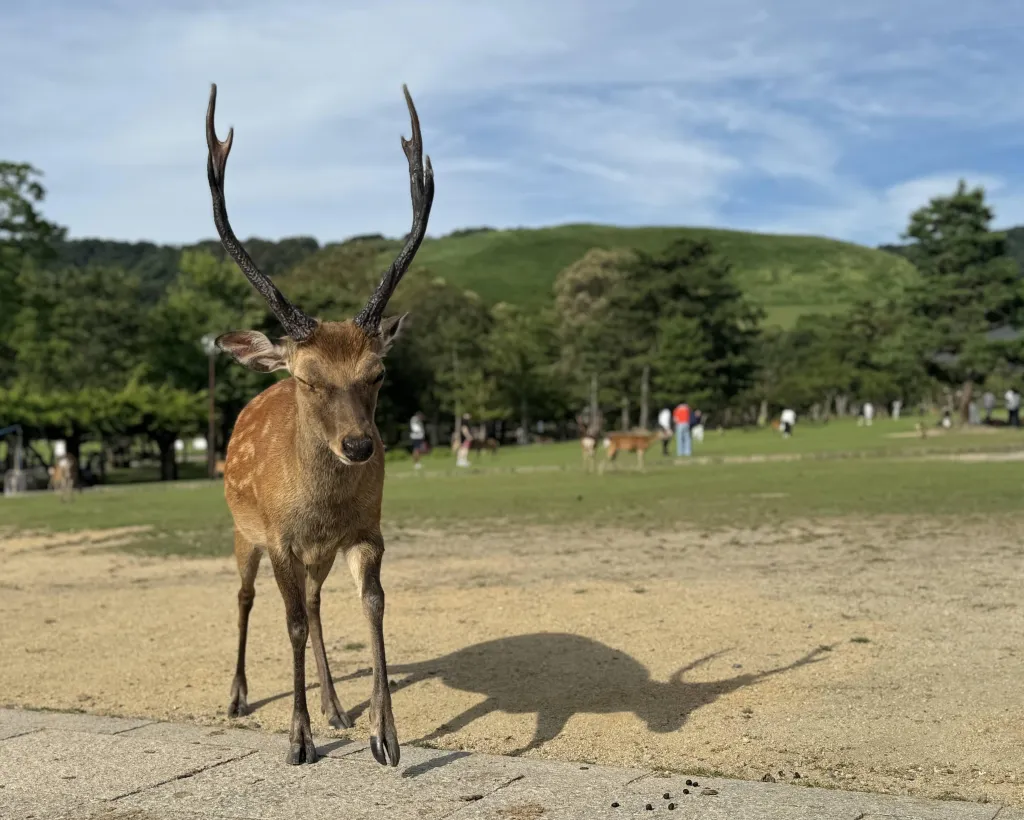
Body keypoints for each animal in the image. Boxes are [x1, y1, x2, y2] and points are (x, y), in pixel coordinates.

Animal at [204, 81, 434, 767]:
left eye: (378, 373)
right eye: (307, 378)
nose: (359, 446)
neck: (321, 506)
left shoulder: (366, 531)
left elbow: (373, 607)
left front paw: (385, 735)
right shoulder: (281, 537)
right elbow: (291, 625)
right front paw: (298, 739)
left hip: (317, 553)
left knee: (314, 599)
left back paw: (335, 706)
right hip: (242, 531)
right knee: (248, 598)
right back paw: (238, 697)